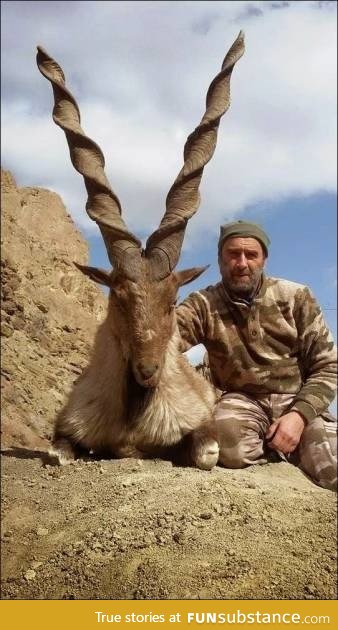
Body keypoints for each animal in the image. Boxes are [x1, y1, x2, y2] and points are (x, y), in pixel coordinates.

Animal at [36, 33, 243, 470]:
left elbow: (207, 453)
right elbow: (58, 453)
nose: (148, 369)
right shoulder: (66, 427)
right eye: (118, 297)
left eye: (172, 301)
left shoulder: (202, 424)